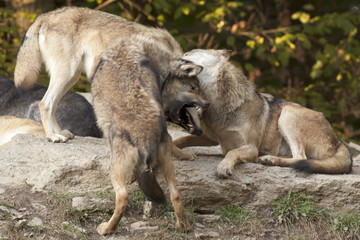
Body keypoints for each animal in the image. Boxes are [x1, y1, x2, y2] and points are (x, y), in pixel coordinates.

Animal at [14, 6, 204, 143]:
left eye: (198, 90)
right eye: (193, 89)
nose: (207, 104)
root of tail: (45, 15)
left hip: (71, 77)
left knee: (51, 105)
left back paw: (60, 133)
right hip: (66, 74)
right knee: (44, 103)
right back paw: (53, 136)